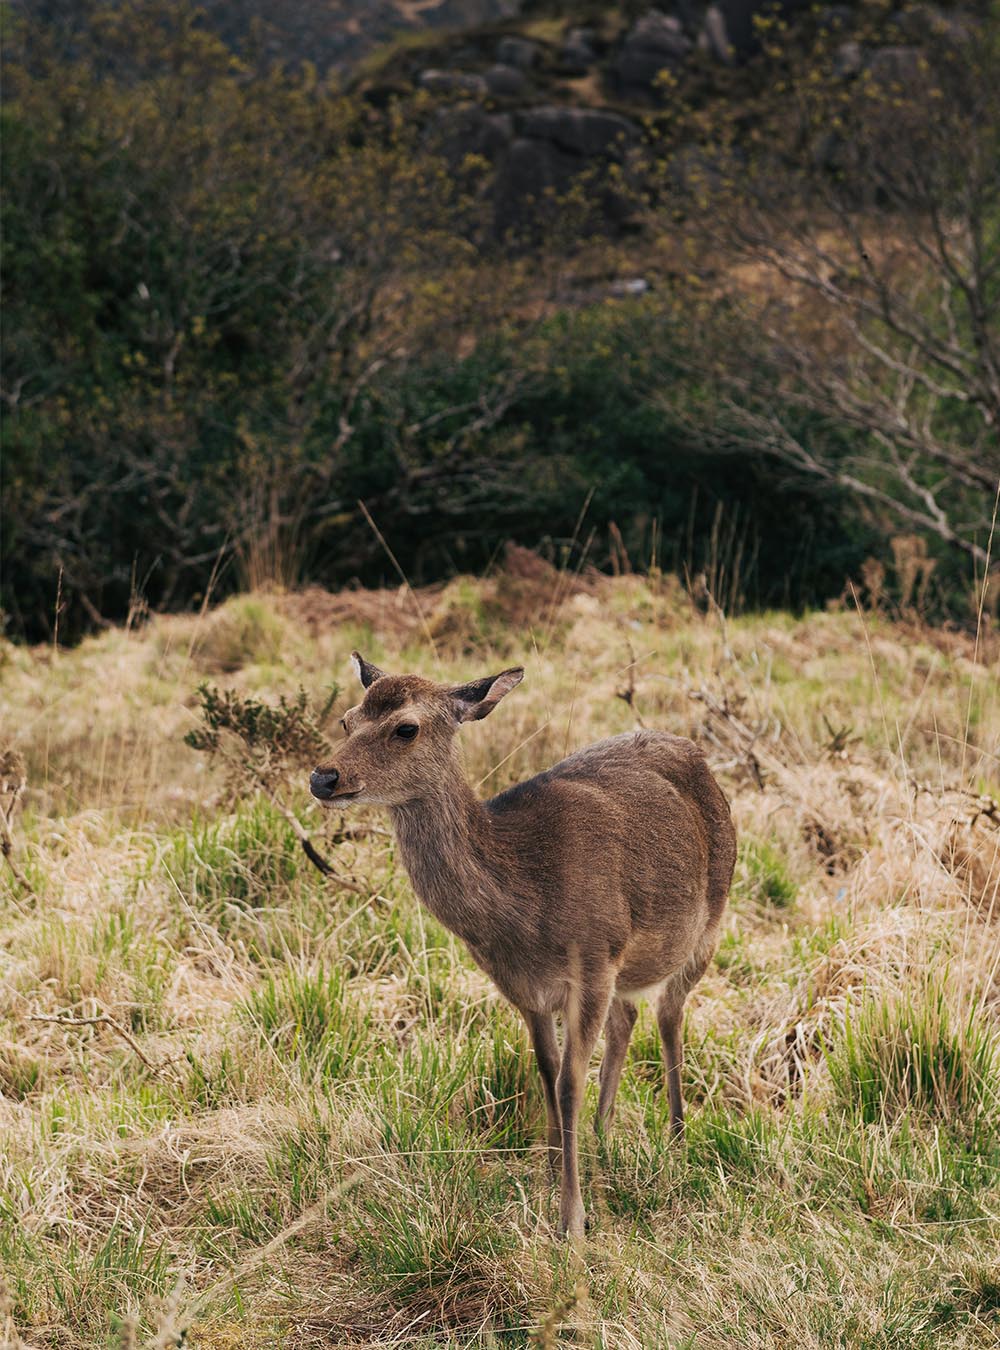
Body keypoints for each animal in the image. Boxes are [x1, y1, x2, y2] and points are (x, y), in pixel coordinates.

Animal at [307, 653, 739, 1236]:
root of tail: (700, 756)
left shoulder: (593, 957)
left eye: (406, 728)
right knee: (628, 1018)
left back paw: (676, 1138)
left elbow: (569, 1083)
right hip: (631, 964)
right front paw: (551, 1172)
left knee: (670, 1016)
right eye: (347, 720)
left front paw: (571, 1218)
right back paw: (603, 1138)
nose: (324, 777)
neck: (526, 909)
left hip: (707, 922)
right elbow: (546, 1072)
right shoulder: (524, 987)